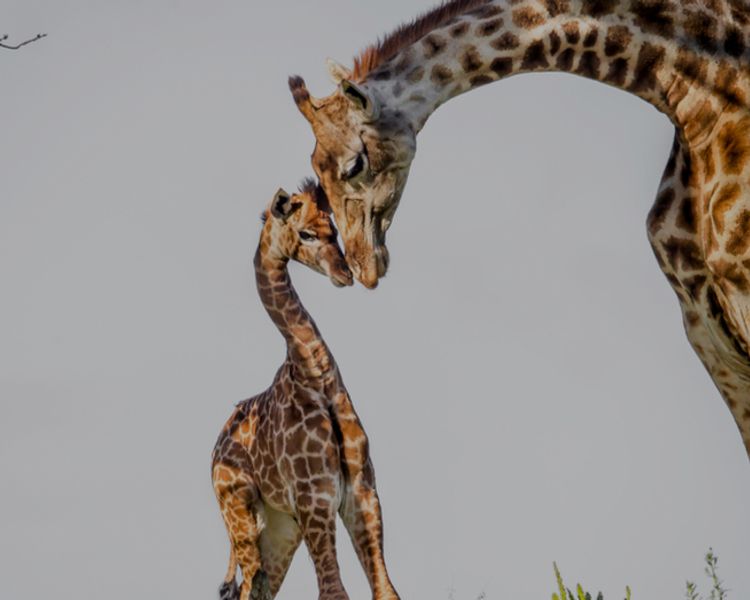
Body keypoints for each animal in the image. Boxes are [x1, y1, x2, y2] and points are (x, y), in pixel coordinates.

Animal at [212, 182, 401, 600]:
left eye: (332, 228)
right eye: (306, 234)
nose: (345, 273)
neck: (315, 378)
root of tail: (213, 453)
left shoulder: (362, 491)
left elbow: (385, 590)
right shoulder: (315, 497)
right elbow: (334, 591)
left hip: (281, 528)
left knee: (258, 587)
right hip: (241, 514)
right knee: (248, 586)